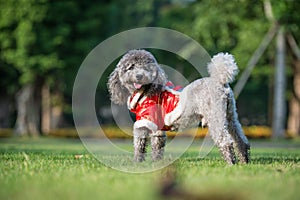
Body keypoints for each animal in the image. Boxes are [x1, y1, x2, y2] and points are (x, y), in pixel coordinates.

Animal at [107, 48, 248, 164]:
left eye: (146, 68)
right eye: (131, 67)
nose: (139, 76)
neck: (146, 91)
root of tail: (220, 81)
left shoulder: (144, 121)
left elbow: (139, 145)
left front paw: (137, 163)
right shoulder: (157, 127)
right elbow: (157, 145)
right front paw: (156, 162)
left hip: (215, 117)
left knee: (226, 141)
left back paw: (230, 162)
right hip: (230, 116)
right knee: (241, 140)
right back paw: (244, 161)